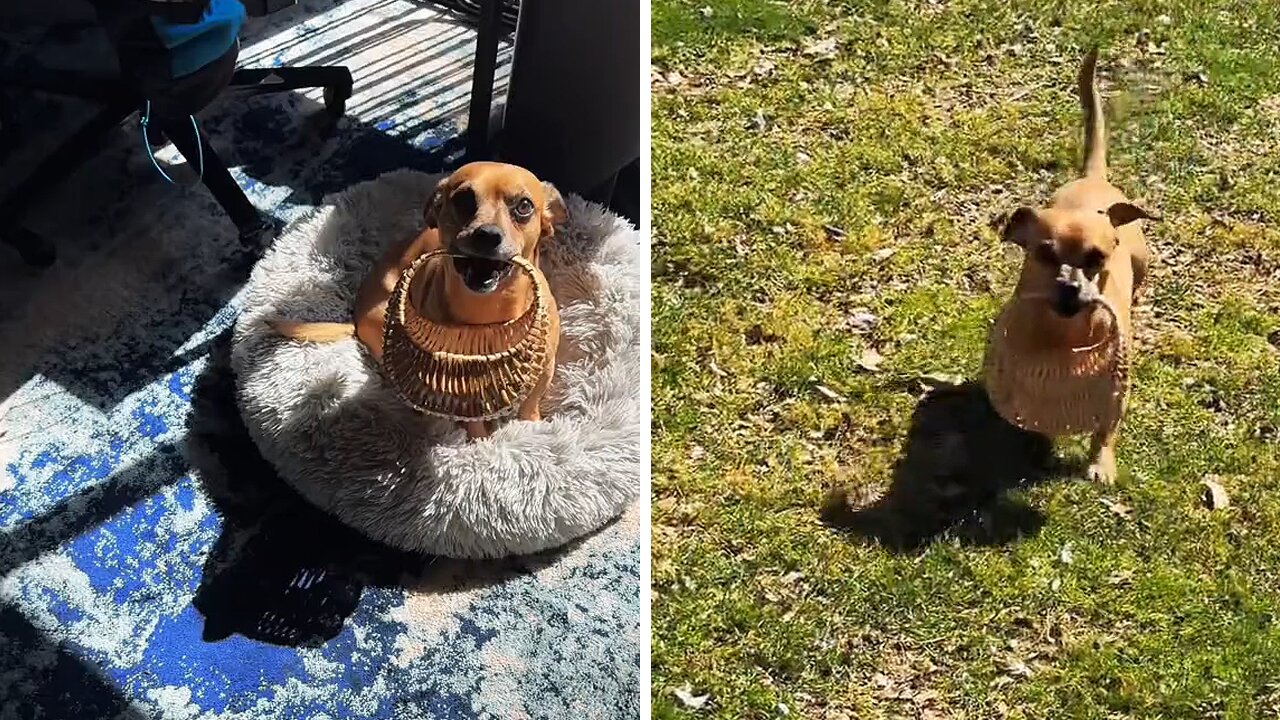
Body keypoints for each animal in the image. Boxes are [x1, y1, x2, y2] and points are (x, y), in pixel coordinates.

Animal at [270, 162, 565, 438]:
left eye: (524, 206)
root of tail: (355, 317)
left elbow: (531, 402)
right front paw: (480, 443)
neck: (490, 311)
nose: (487, 235)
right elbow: (474, 424)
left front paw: (530, 426)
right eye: (463, 199)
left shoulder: (545, 369)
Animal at [998, 50, 1162, 481]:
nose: (1070, 286)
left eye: (1096, 259)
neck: (1065, 332)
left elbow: (1106, 428)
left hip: (1142, 261)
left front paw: (1100, 463)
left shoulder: (1115, 388)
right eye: (1044, 254)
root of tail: (1093, 178)